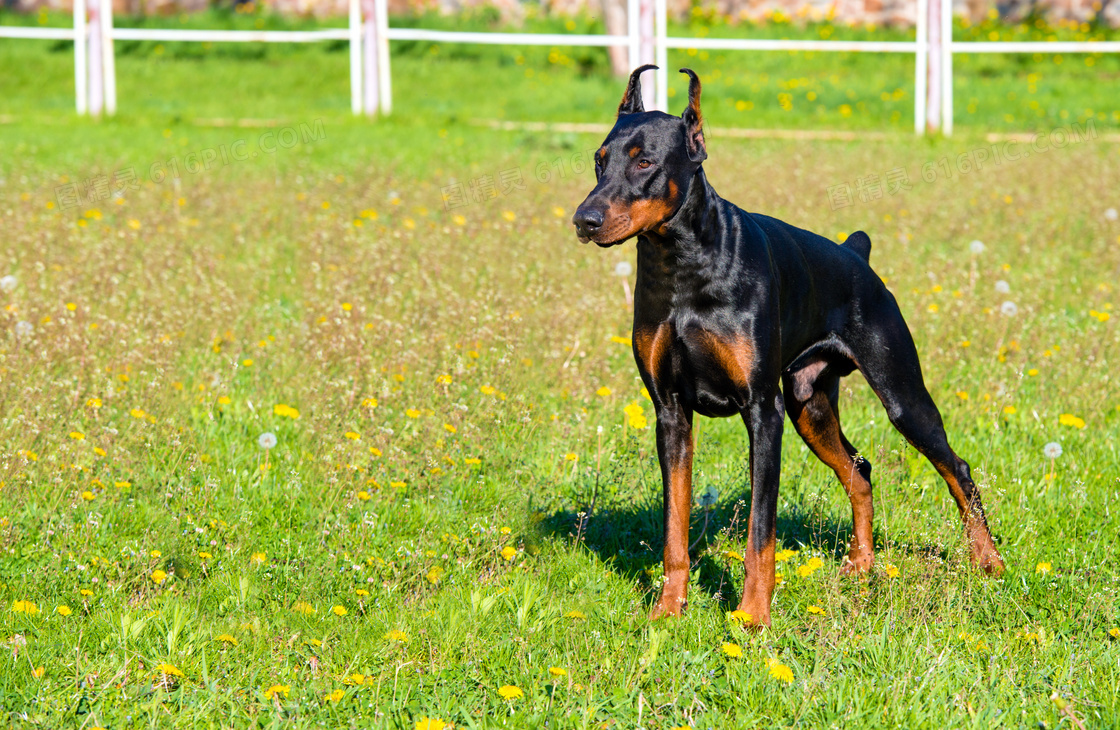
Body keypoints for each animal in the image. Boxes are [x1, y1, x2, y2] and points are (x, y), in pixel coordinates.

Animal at [568, 66, 1008, 626]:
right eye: (599, 160)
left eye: (644, 161)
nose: (584, 220)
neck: (683, 266)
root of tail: (854, 253)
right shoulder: (669, 411)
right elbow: (674, 527)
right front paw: (669, 610)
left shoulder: (763, 410)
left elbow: (761, 532)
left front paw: (753, 616)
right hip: (809, 405)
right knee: (859, 471)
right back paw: (861, 567)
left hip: (900, 396)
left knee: (956, 468)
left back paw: (988, 560)